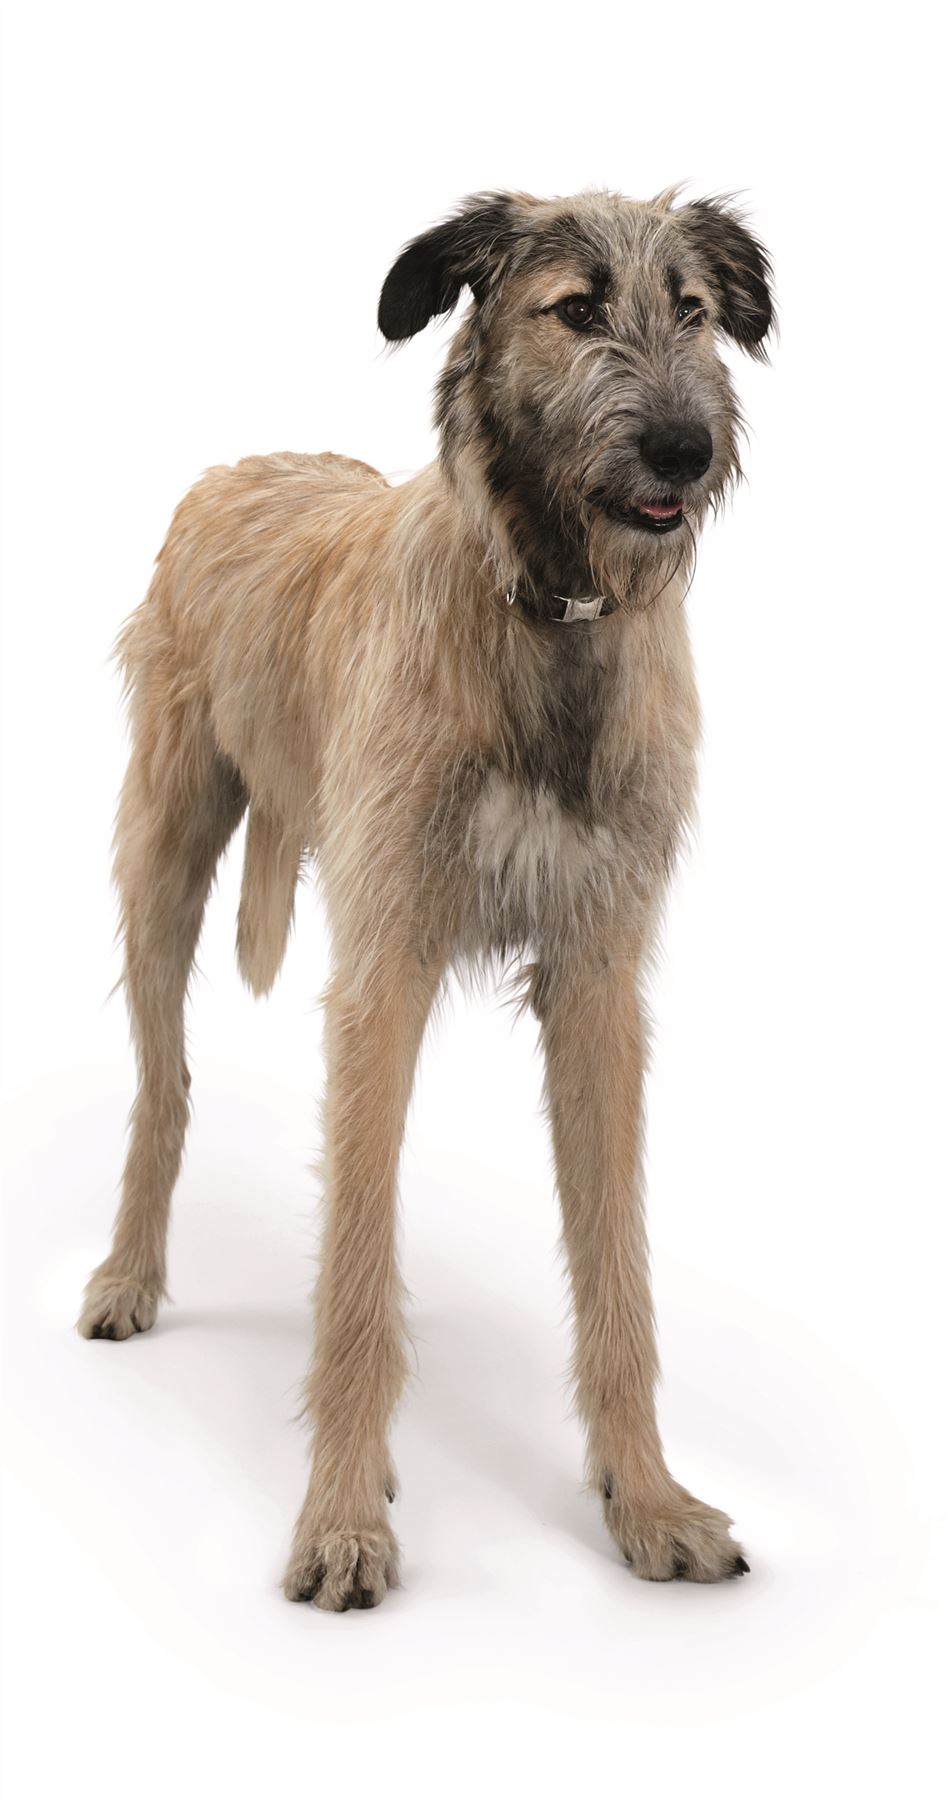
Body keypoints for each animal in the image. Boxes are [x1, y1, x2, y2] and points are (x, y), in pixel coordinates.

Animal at [79, 187, 774, 1610]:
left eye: (691, 310)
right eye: (576, 308)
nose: (683, 450)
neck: (548, 613)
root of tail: (237, 465)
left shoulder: (598, 978)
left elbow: (618, 1268)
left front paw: (647, 1500)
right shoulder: (380, 969)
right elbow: (352, 1273)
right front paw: (342, 1517)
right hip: (160, 855)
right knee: (163, 1086)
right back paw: (129, 1271)